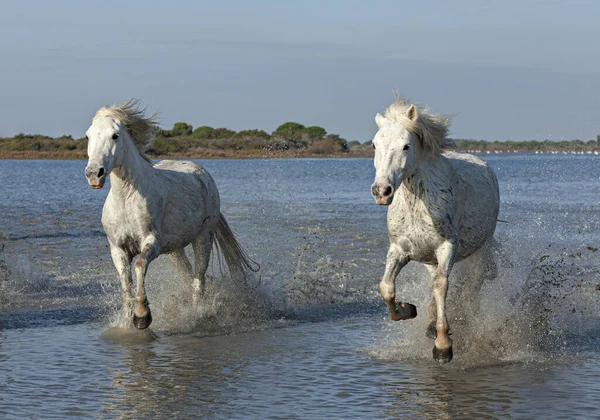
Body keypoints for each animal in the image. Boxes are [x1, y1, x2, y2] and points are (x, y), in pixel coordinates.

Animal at [82, 100, 255, 330]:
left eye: (115, 135)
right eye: (88, 136)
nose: (94, 174)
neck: (127, 199)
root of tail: (202, 172)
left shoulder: (151, 242)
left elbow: (139, 265)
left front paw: (142, 316)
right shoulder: (117, 249)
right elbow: (126, 284)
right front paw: (128, 321)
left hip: (204, 237)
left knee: (198, 280)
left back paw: (196, 314)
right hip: (175, 249)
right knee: (188, 276)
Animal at [372, 94, 500, 360]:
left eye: (406, 146)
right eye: (374, 145)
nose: (381, 191)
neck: (418, 203)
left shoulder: (446, 247)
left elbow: (442, 286)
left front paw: (443, 346)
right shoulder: (399, 249)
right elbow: (386, 287)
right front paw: (407, 309)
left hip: (479, 255)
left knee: (470, 291)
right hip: (429, 259)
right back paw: (430, 323)